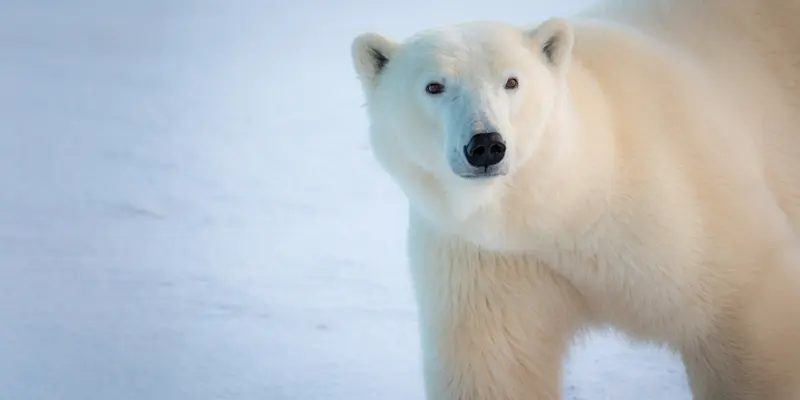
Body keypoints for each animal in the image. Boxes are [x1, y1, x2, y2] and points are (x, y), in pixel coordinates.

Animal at [350, 0, 800, 399]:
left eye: (511, 81)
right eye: (434, 86)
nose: (486, 145)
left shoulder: (688, 213)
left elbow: (746, 315)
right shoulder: (488, 258)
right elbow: (496, 365)